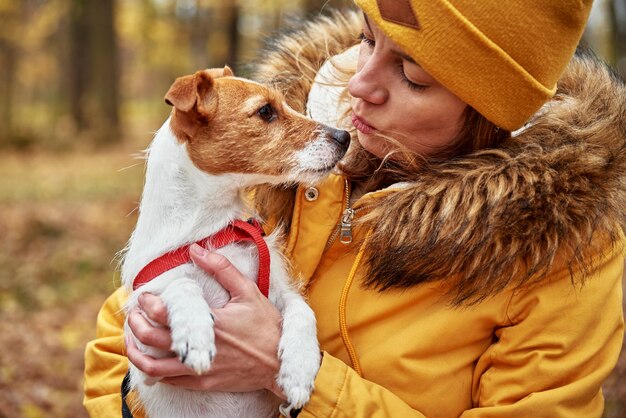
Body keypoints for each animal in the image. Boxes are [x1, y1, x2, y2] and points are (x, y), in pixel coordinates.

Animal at [119, 67, 348, 416]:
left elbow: (302, 310)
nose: (345, 136)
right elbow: (180, 283)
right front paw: (195, 331)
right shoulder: (147, 356)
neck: (215, 229)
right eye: (265, 111)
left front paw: (300, 369)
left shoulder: (279, 290)